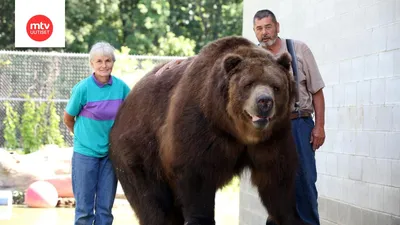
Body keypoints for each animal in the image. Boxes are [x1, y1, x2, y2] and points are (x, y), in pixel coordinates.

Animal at [108, 36, 304, 224]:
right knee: (153, 200)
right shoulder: (200, 127)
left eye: (276, 86)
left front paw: (291, 216)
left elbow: (277, 179)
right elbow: (197, 176)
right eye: (248, 84)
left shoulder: (272, 138)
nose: (264, 101)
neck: (235, 130)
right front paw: (200, 218)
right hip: (140, 151)